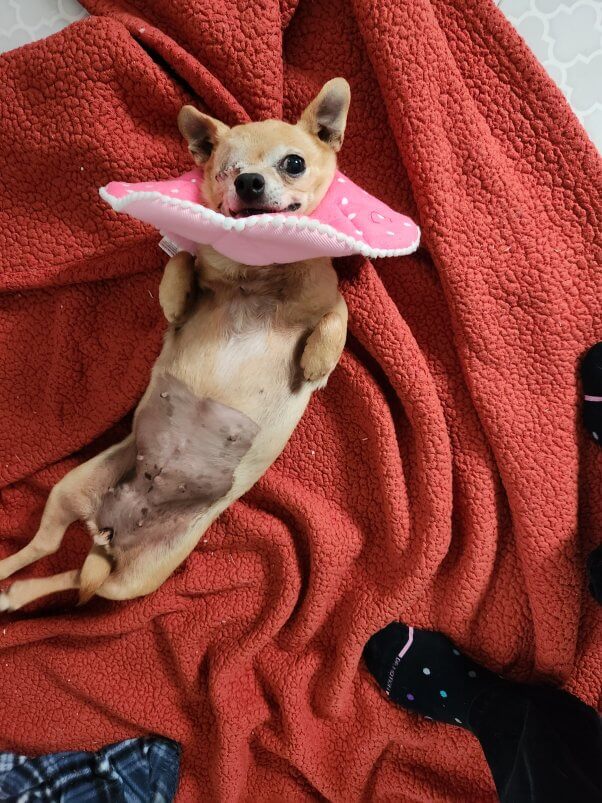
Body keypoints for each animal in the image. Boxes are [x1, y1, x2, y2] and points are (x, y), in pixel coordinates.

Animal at [0, 80, 350, 608]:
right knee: (47, 550)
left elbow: (339, 311)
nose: (248, 182)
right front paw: (174, 288)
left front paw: (317, 361)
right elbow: (183, 257)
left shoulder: (326, 298)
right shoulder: (191, 298)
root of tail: (108, 530)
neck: (257, 273)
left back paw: (14, 594)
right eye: (225, 168)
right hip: (70, 490)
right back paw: (7, 578)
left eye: (294, 163)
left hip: (139, 574)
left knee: (72, 574)